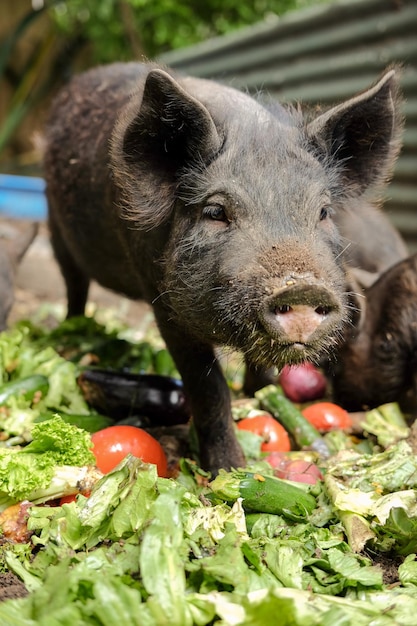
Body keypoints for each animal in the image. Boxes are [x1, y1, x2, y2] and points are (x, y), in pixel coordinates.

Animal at [44, 64, 404, 472]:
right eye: (216, 212)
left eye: (324, 212)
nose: (301, 287)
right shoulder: (162, 301)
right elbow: (209, 388)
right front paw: (230, 471)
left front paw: (259, 397)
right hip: (54, 225)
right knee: (74, 285)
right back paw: (69, 335)